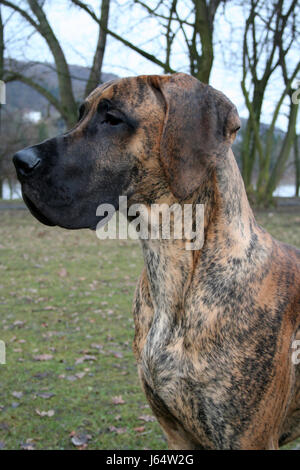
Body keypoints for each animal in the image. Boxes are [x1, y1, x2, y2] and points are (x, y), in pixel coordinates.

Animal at [12, 73, 300, 448]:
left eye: (113, 118)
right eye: (81, 114)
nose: (19, 161)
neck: (169, 265)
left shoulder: (247, 438)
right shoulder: (175, 432)